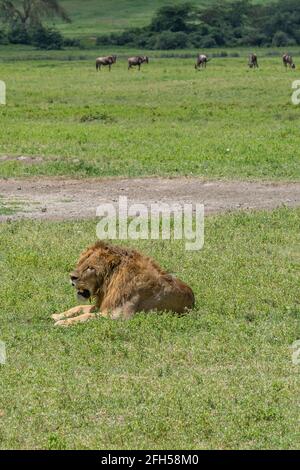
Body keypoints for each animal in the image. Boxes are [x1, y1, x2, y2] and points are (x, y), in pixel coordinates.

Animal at [52, 242, 195, 326]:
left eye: (91, 268)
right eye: (81, 263)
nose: (71, 277)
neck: (108, 284)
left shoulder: (120, 316)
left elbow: (86, 315)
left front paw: (63, 322)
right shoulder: (104, 305)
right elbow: (80, 308)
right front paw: (57, 315)